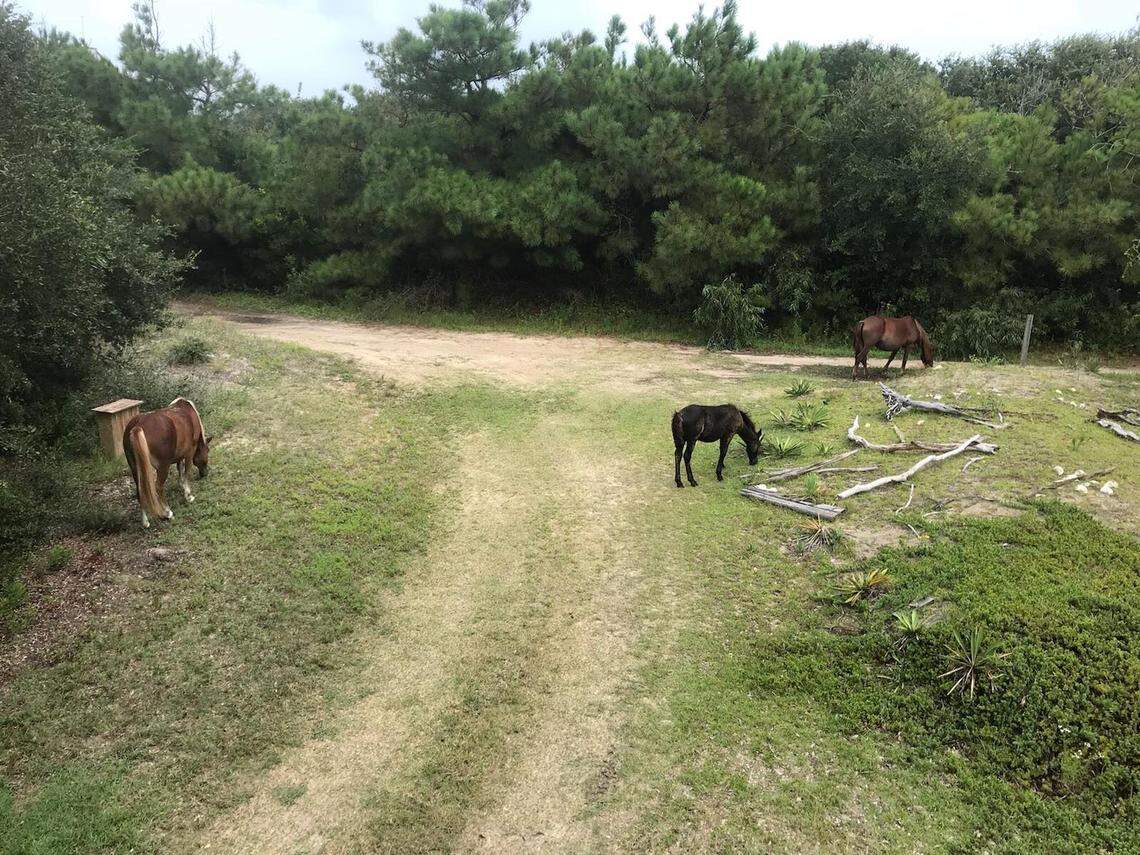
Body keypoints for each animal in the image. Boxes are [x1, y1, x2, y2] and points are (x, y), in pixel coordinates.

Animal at [122, 397, 212, 528]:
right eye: (207, 451)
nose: (205, 473)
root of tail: (137, 426)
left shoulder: (180, 456)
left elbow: (180, 469)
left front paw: (181, 485)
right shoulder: (189, 453)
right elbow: (187, 473)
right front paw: (188, 495)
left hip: (135, 468)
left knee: (140, 490)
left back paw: (145, 522)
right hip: (163, 467)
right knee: (158, 487)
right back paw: (167, 512)